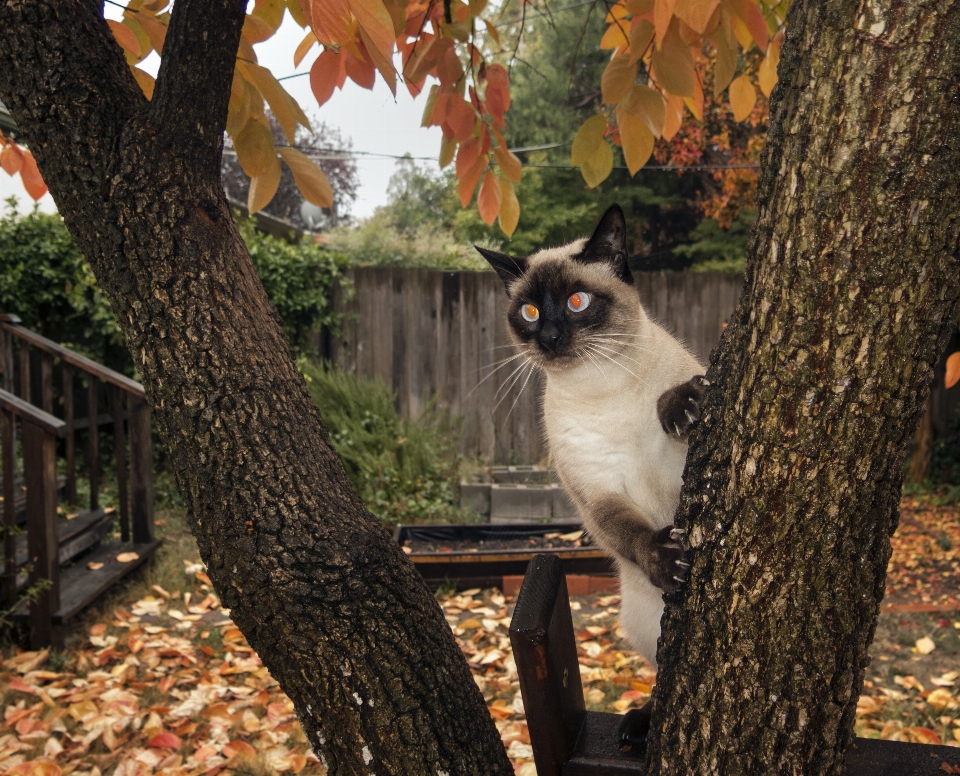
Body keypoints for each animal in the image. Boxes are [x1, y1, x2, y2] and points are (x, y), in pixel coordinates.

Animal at [478, 203, 708, 668]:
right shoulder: (600, 493)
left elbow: (670, 401)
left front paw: (680, 408)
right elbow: (630, 532)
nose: (550, 338)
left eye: (576, 302)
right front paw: (666, 561)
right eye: (530, 312)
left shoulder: (680, 463)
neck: (602, 386)